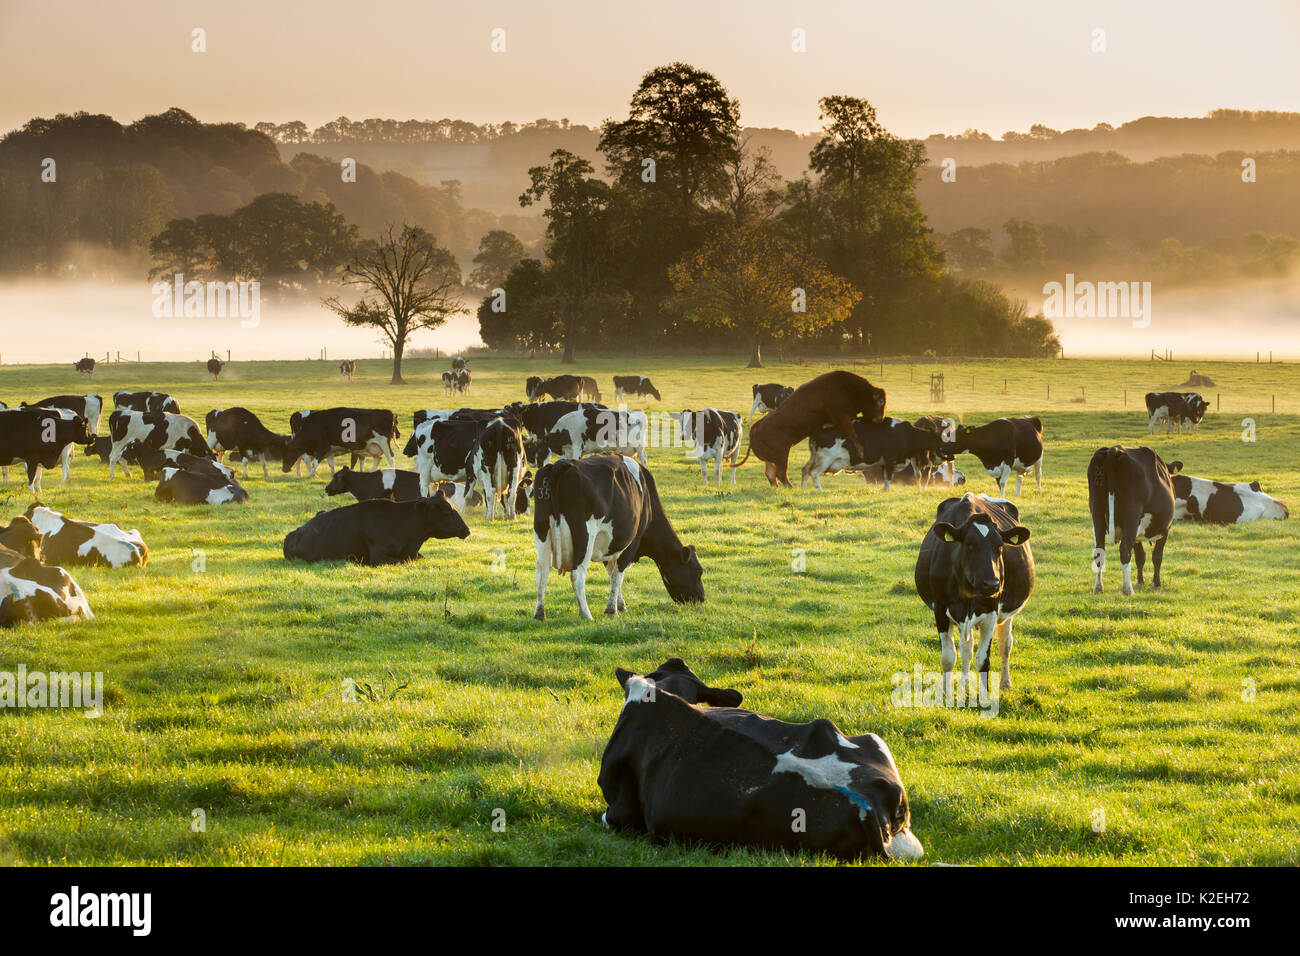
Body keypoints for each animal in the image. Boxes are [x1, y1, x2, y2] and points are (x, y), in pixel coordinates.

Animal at [531, 455, 703, 620]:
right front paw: (611, 610)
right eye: (698, 571)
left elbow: (611, 573)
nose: (702, 599)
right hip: (585, 536)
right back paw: (586, 614)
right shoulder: (632, 542)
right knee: (577, 574)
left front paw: (620, 605)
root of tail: (560, 465)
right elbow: (618, 575)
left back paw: (540, 614)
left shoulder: (611, 545)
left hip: (541, 530)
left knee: (542, 572)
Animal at [735, 372, 888, 488]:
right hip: (782, 454)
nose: (880, 418)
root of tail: (755, 428)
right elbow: (852, 433)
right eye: (880, 401)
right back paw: (791, 487)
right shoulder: (841, 417)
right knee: (780, 473)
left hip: (773, 458)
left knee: (771, 473)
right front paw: (861, 451)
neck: (850, 389)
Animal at [801, 417, 945, 491]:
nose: (945, 456)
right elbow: (888, 477)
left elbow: (885, 477)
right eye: (938, 439)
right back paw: (819, 490)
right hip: (824, 459)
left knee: (805, 470)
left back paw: (803, 489)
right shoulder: (890, 459)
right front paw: (887, 490)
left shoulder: (884, 463)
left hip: (814, 458)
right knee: (814, 473)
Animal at [915, 493, 1035, 699]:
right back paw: (964, 683)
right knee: (966, 648)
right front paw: (946, 694)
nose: (992, 583)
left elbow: (983, 660)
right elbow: (948, 657)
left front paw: (985, 697)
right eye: (970, 545)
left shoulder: (991, 612)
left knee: (1005, 645)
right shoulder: (940, 609)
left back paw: (1005, 682)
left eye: (1000, 547)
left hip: (1006, 613)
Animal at [1087, 445, 1176, 596]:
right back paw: (1128, 589)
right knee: (1125, 550)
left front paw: (1140, 581)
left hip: (1096, 512)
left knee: (1099, 551)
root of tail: (1114, 449)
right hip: (1131, 515)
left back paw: (1098, 587)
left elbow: (1140, 557)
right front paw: (1156, 584)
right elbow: (1157, 556)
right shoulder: (1165, 530)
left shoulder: (1135, 533)